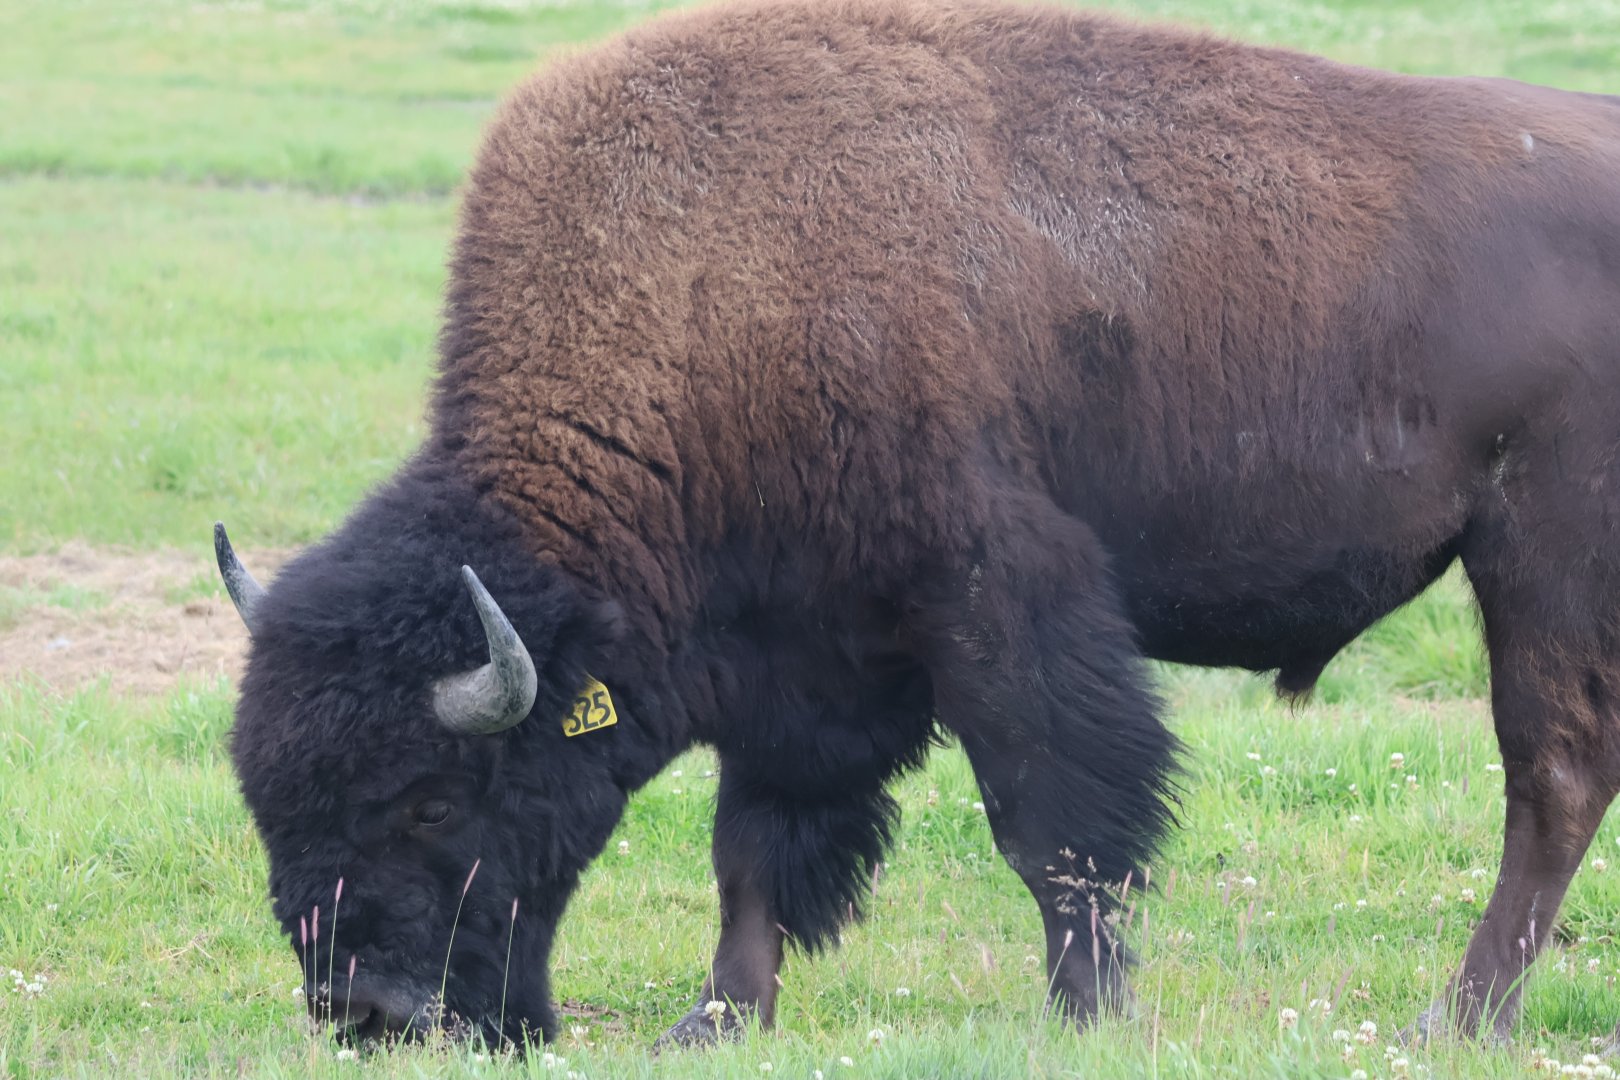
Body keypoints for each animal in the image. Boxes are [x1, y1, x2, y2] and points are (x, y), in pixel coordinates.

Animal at [215, 0, 1620, 1049]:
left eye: (430, 804)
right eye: (270, 801)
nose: (363, 1009)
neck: (707, 289)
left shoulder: (993, 598)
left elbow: (1054, 819)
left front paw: (1082, 1016)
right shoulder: (799, 660)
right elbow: (756, 848)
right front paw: (716, 1019)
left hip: (1539, 564)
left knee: (1551, 774)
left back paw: (1459, 1020)